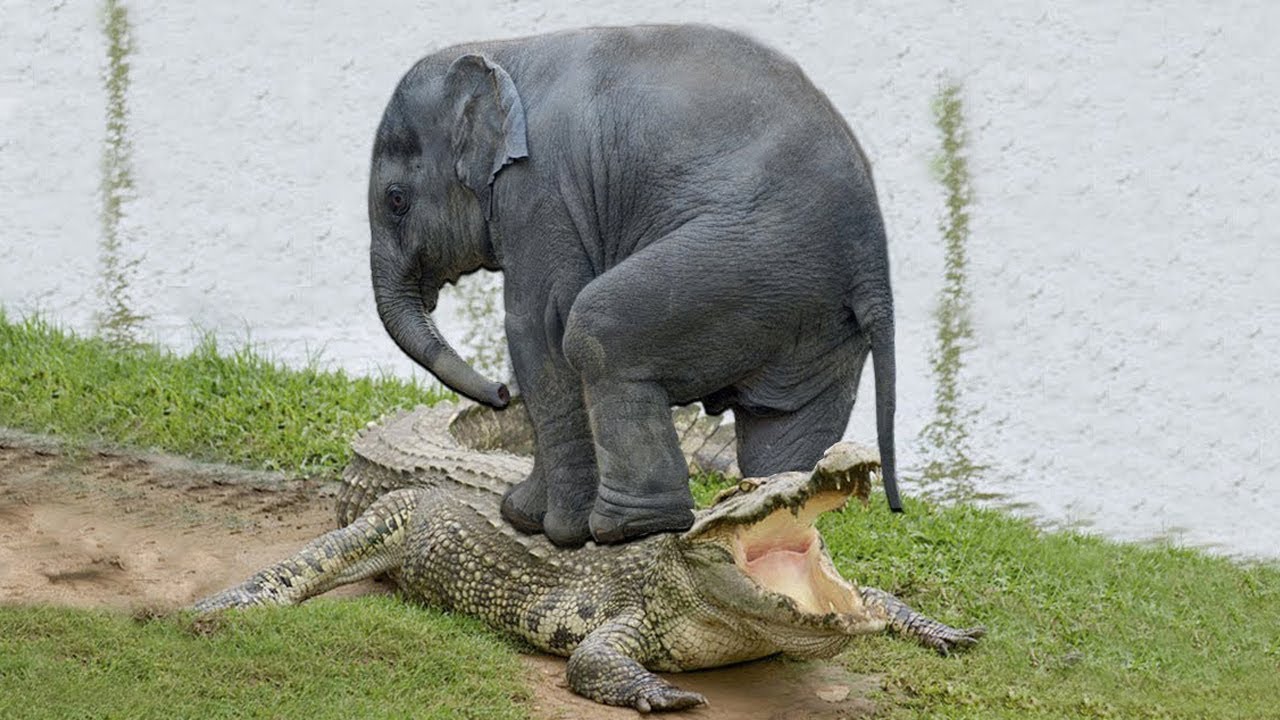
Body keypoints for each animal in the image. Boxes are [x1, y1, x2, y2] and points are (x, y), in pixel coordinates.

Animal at [368, 23, 901, 547]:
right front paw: (525, 517)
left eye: (396, 201)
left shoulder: (540, 191)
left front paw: (549, 528)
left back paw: (629, 528)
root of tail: (873, 262)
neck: (503, 51)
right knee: (781, 419)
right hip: (815, 312)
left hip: (750, 259)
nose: (499, 393)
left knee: (595, 332)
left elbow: (538, 328)